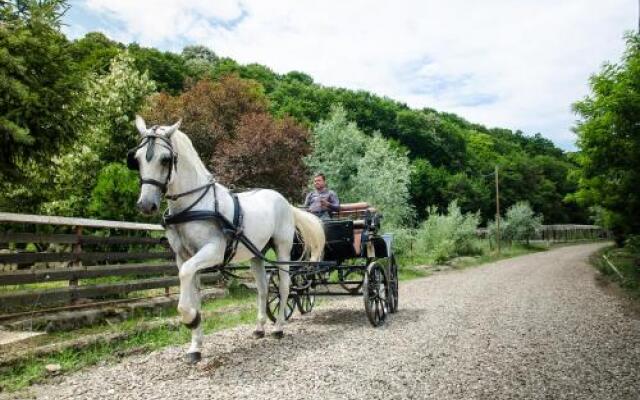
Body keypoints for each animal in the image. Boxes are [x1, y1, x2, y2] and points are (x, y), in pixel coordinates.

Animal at [128, 115, 324, 362]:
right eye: (136, 159)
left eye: (165, 159)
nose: (145, 205)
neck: (194, 204)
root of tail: (285, 201)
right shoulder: (184, 258)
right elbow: (192, 290)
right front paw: (195, 346)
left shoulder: (213, 252)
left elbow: (186, 282)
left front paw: (189, 318)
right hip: (257, 255)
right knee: (263, 289)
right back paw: (259, 328)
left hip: (282, 249)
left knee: (284, 288)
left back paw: (278, 328)